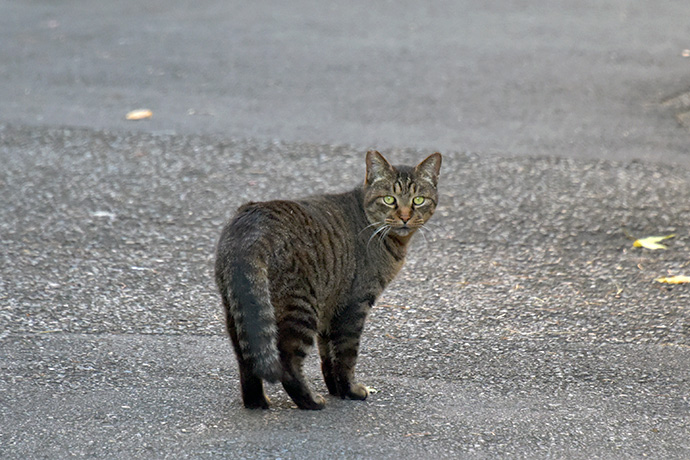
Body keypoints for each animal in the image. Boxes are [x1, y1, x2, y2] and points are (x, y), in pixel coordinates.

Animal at [214, 150, 440, 410]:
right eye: (389, 199)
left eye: (418, 200)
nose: (404, 216)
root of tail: (251, 227)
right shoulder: (354, 305)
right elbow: (346, 356)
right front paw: (350, 390)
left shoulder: (330, 307)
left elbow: (328, 356)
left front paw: (336, 389)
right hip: (300, 307)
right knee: (287, 362)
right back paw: (310, 401)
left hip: (240, 308)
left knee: (247, 357)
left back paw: (257, 401)